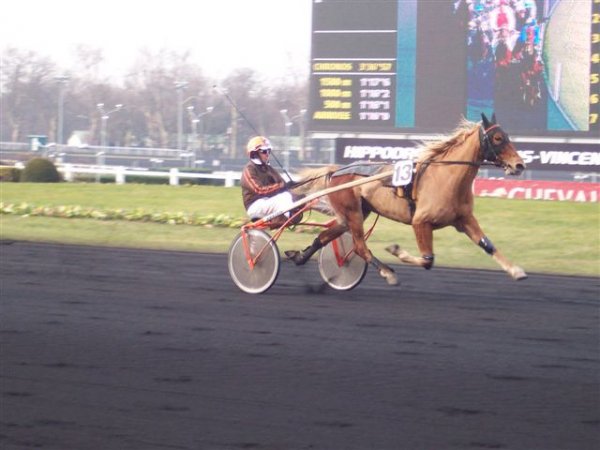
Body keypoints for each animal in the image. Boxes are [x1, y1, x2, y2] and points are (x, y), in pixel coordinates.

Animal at [288, 114, 528, 286]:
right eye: (497, 138)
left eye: (507, 135)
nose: (519, 165)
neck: (446, 176)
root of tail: (336, 170)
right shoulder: (420, 222)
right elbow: (427, 260)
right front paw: (396, 251)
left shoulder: (464, 219)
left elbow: (487, 245)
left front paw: (516, 270)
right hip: (353, 213)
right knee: (359, 247)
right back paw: (387, 272)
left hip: (352, 214)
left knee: (324, 236)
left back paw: (299, 256)